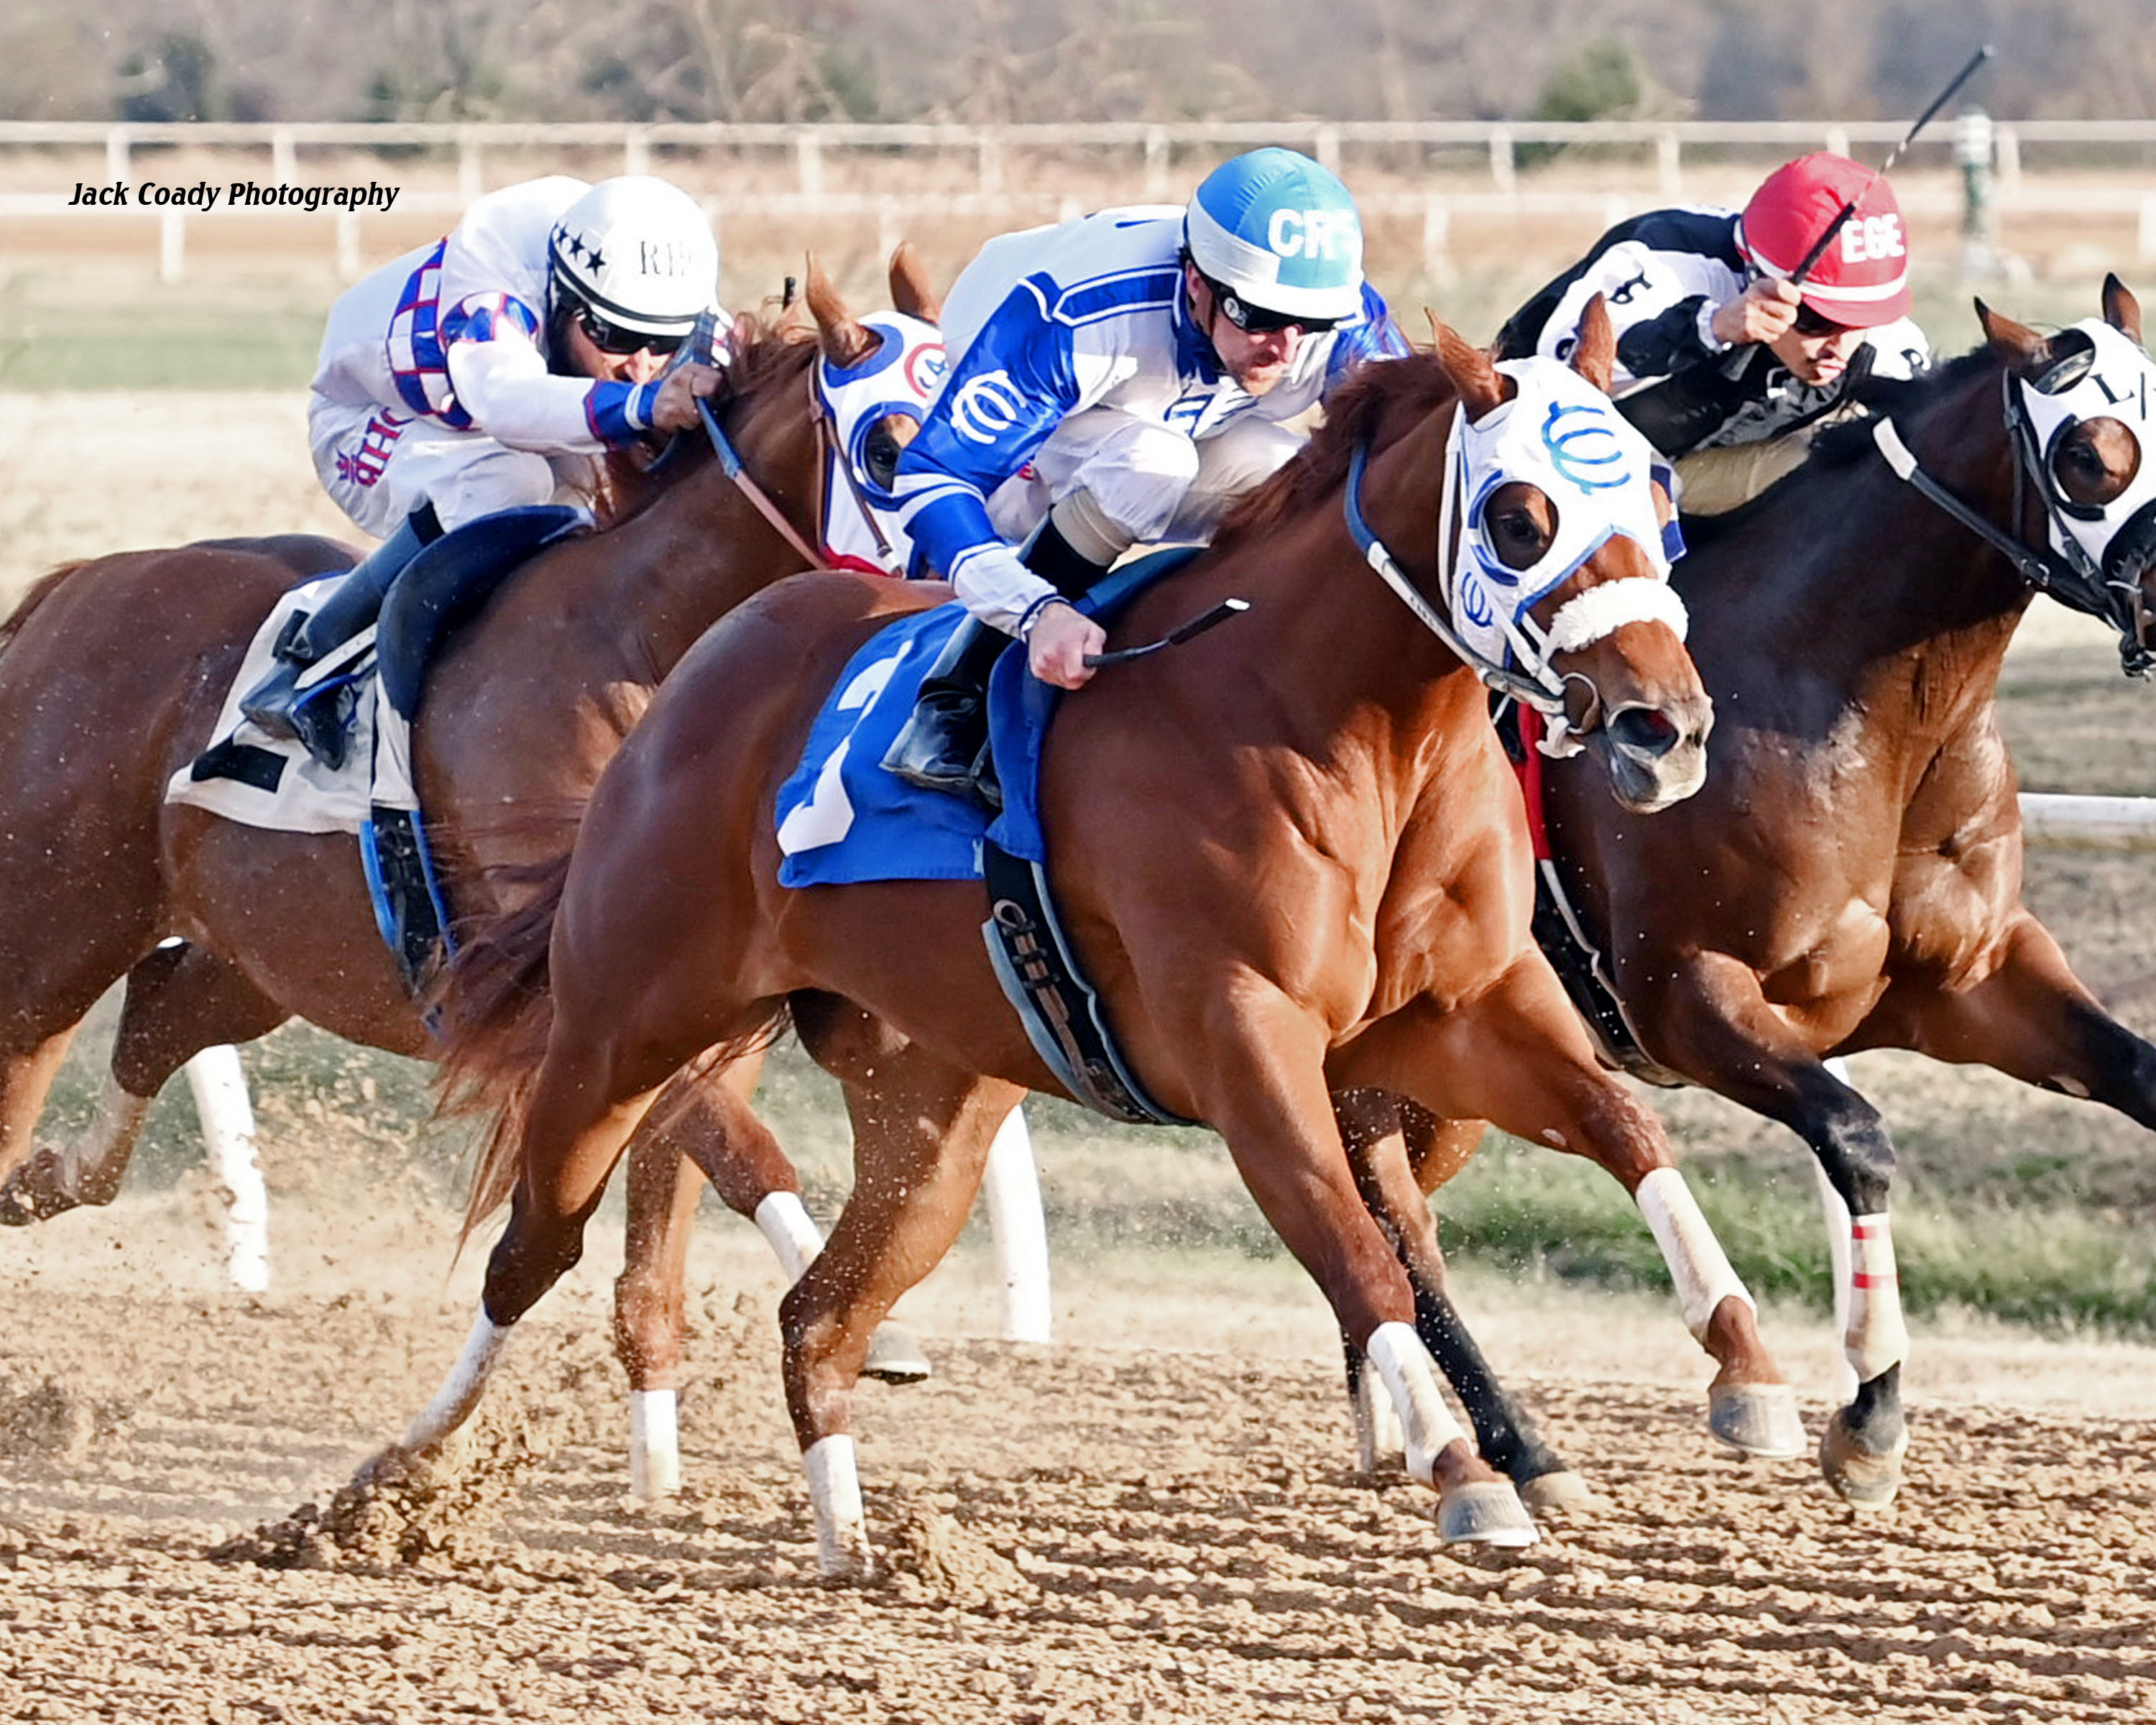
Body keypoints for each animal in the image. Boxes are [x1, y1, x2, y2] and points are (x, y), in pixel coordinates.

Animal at [0, 254, 944, 1409]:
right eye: (890, 445)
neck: (643, 644)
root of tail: (68, 591)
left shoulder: (697, 1001)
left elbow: (665, 1253)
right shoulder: (576, 1002)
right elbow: (743, 1156)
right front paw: (873, 1323)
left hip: (269, 958)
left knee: (152, 1018)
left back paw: (52, 1173)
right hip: (51, 934)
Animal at [395, 305, 1805, 1579]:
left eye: (1662, 494)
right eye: (1520, 516)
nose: (1665, 728)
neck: (1342, 724)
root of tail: (705, 660)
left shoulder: (1459, 1010)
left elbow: (1628, 1133)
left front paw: (1754, 1376)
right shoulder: (1243, 1037)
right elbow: (1358, 1251)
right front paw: (1463, 1470)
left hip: (933, 1109)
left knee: (819, 1319)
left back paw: (855, 1542)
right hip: (624, 1023)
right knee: (534, 1246)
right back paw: (400, 1479)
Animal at [1331, 278, 2156, 1514]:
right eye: (2087, 455)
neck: (1853, 699)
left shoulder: (1977, 981)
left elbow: (2134, 1076)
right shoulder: (1690, 997)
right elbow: (1858, 1138)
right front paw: (1866, 1423)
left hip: (1451, 1067)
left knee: (1405, 1211)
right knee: (1393, 1219)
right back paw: (1511, 1451)